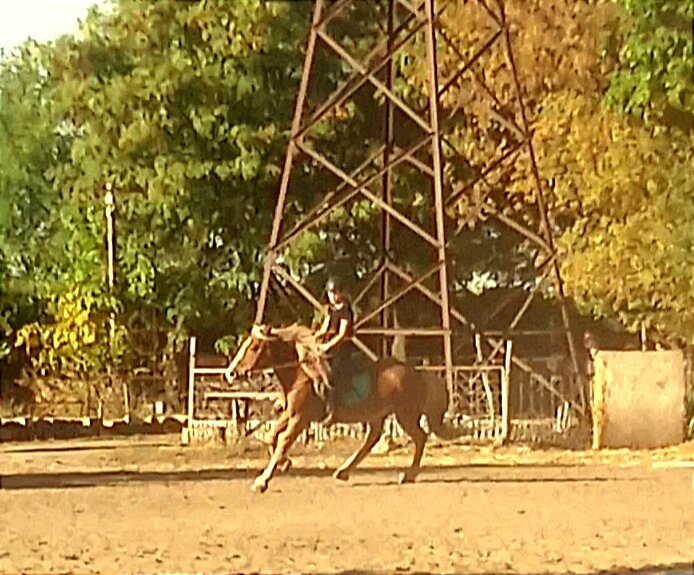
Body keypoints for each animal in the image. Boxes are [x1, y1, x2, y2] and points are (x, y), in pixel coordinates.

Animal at [226, 324, 464, 496]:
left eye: (254, 347)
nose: (231, 373)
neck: (302, 373)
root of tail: (419, 373)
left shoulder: (300, 418)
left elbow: (283, 440)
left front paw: (262, 481)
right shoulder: (290, 413)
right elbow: (271, 436)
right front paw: (285, 463)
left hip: (404, 415)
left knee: (420, 437)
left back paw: (408, 475)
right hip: (378, 414)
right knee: (372, 439)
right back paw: (343, 471)